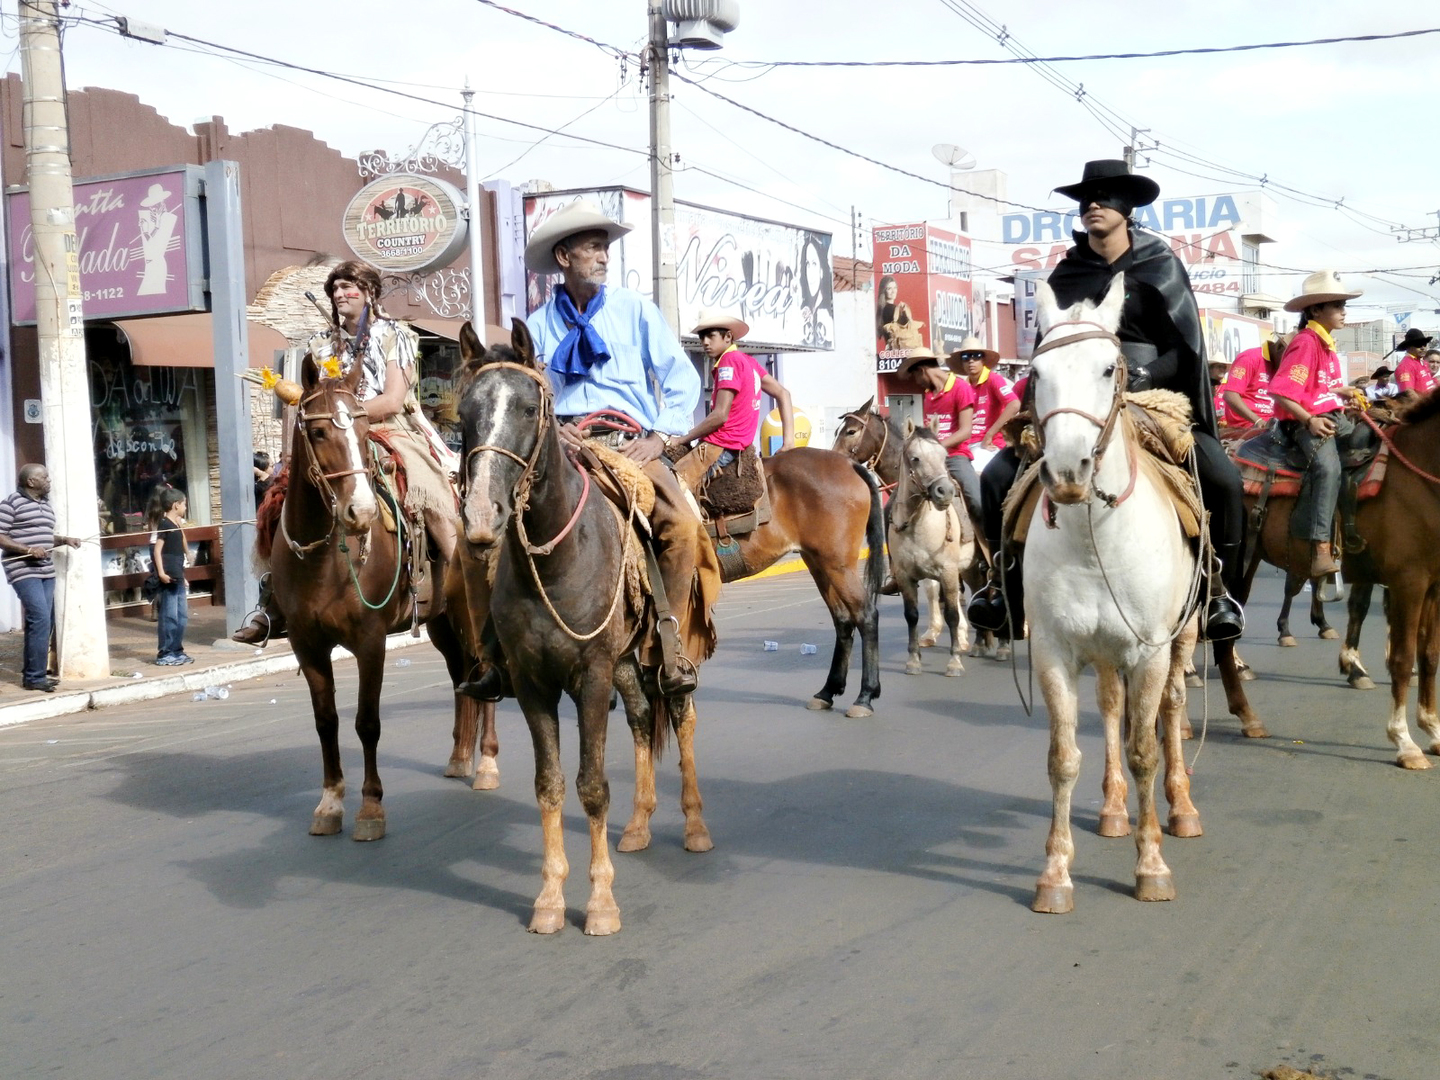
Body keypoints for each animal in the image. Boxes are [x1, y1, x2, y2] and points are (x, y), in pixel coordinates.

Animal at [270, 351, 472, 840]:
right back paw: (460, 757)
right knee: (461, 675)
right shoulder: (306, 644)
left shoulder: (370, 641)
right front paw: (329, 803)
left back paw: (487, 764)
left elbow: (367, 722)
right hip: (441, 622)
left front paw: (370, 807)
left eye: (364, 434)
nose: (359, 513)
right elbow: (327, 721)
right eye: (318, 432)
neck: (325, 562)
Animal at [455, 316, 714, 933]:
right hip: (625, 661)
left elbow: (592, 786)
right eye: (464, 412)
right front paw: (550, 898)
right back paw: (640, 825)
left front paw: (599, 904)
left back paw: (694, 826)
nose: (481, 518)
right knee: (643, 718)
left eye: (529, 409)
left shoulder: (591, 677)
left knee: (682, 716)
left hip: (666, 652)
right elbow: (550, 786)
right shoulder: (532, 684)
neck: (556, 557)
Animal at [881, 423, 973, 676]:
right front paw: (913, 660)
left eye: (944, 457)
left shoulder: (948, 571)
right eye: (916, 458)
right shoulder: (906, 575)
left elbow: (951, 613)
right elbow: (912, 615)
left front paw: (954, 661)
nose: (945, 491)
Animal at [1025, 276, 1203, 915]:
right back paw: (1110, 807)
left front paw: (1151, 867)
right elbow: (1062, 758)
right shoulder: (1053, 650)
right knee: (1107, 706)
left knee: (1172, 706)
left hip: (1185, 634)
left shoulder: (1149, 650)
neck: (1092, 534)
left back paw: (1182, 807)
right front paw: (1055, 873)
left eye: (1109, 368)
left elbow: (1145, 748)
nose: (1067, 472)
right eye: (1034, 372)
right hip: (1103, 652)